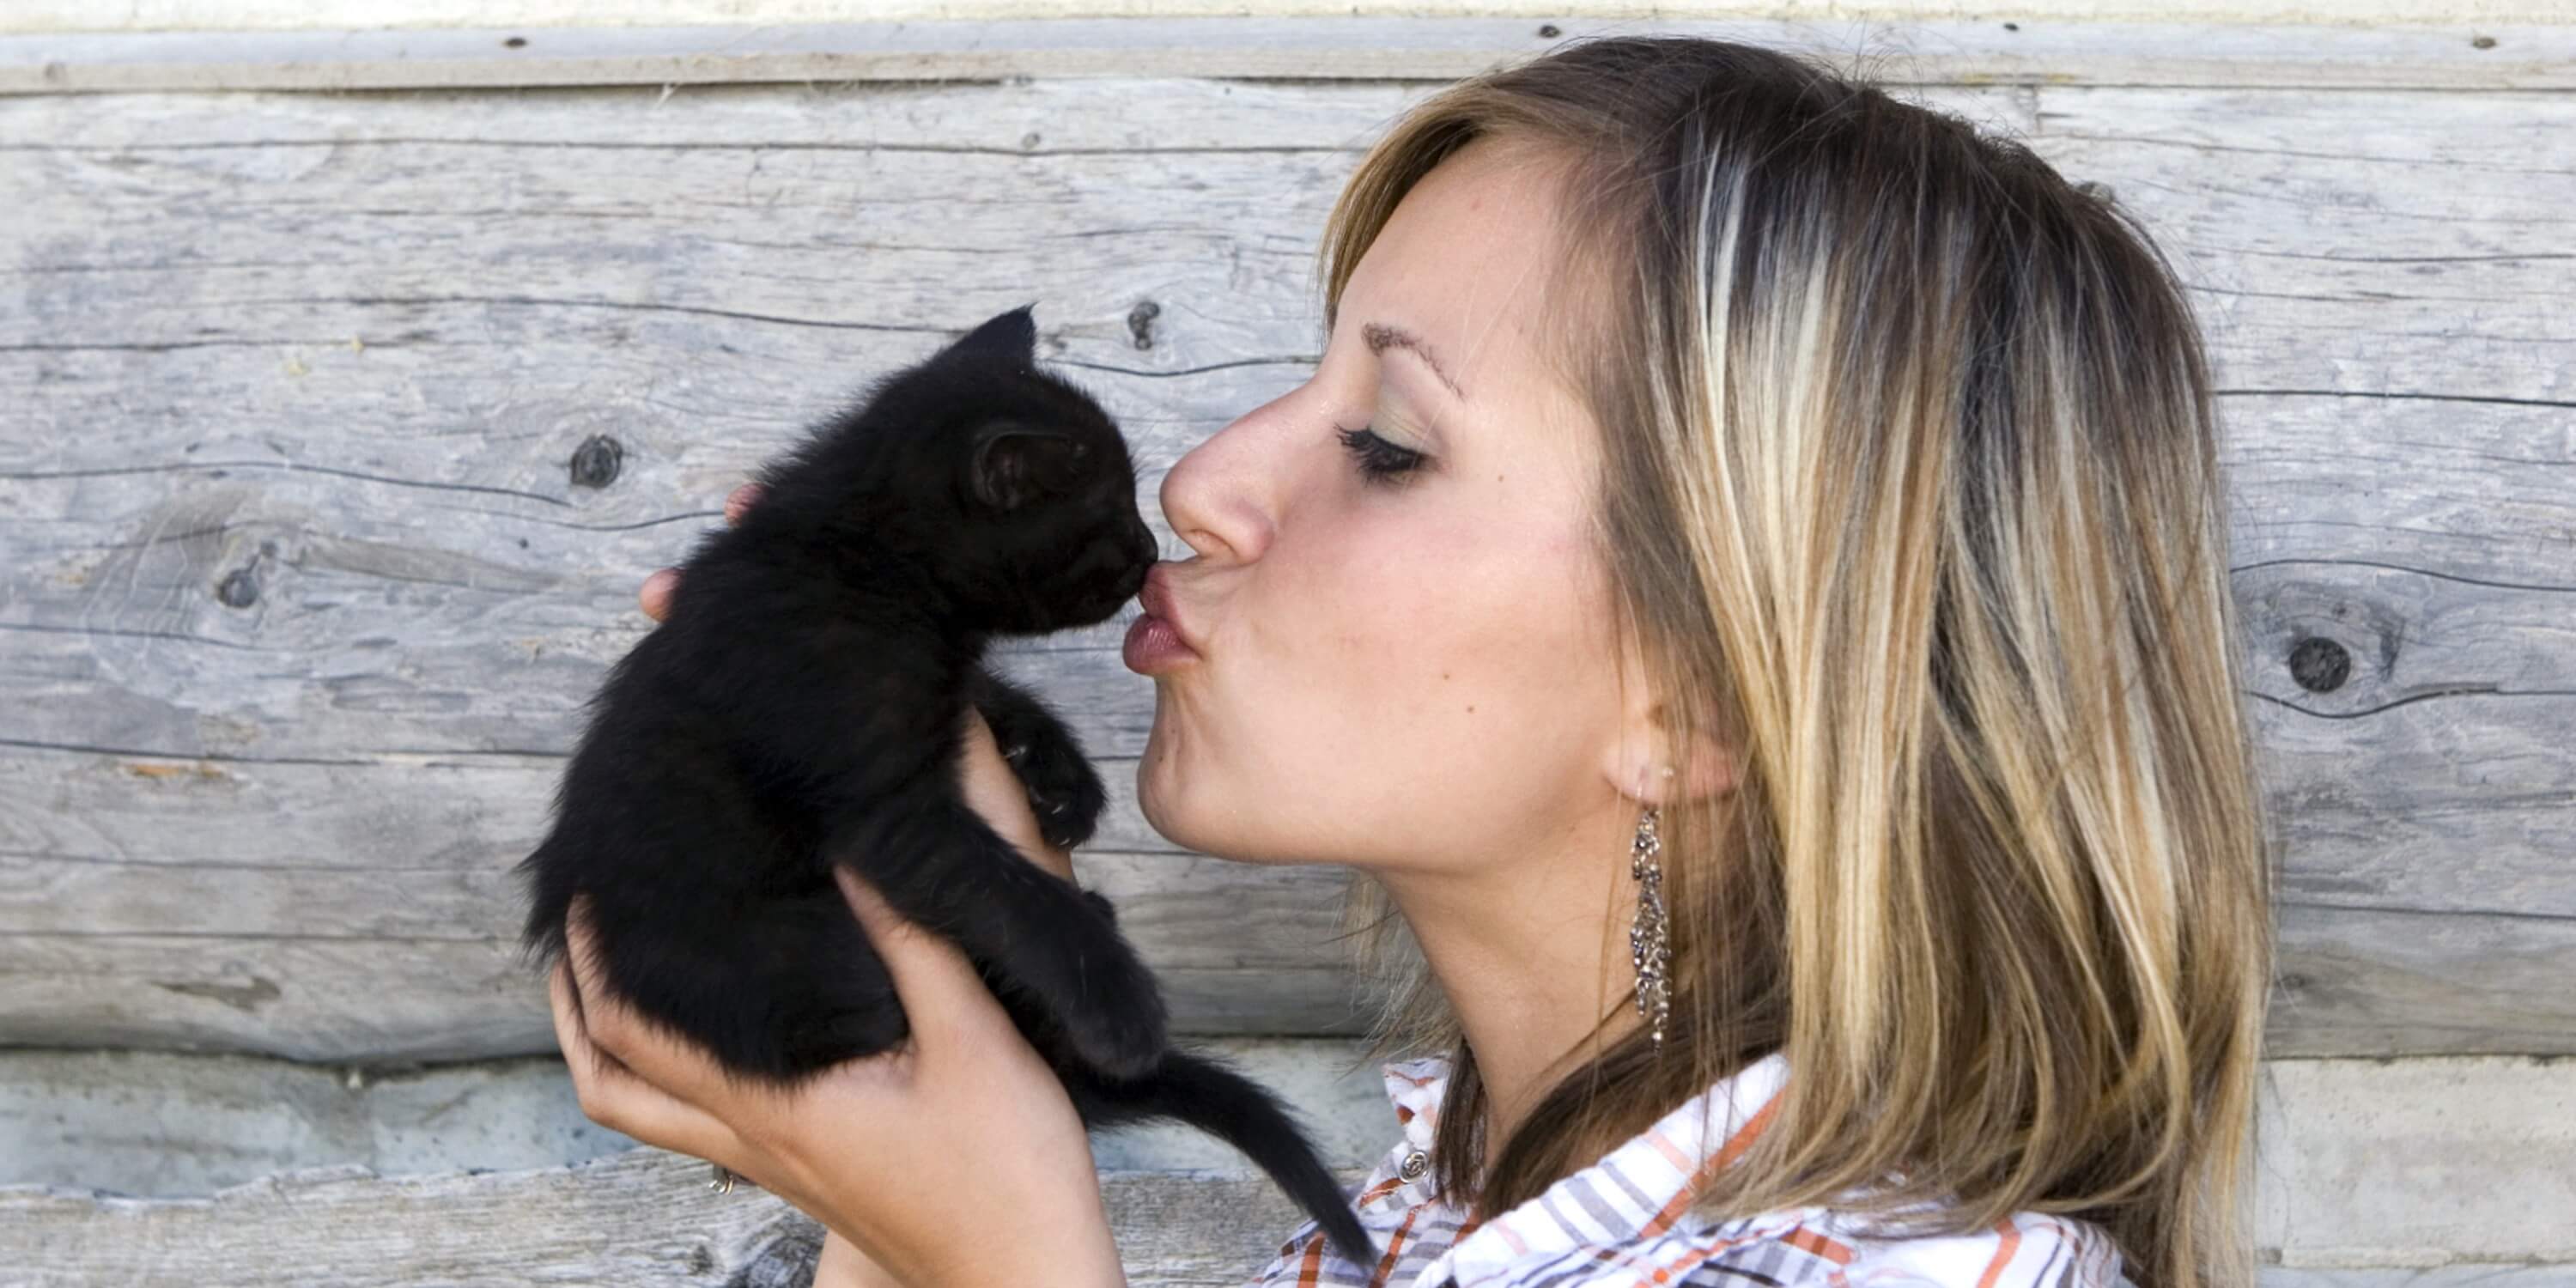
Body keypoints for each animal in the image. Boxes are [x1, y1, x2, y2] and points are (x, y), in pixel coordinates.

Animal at [510, 307, 1381, 1262]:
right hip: (762, 954)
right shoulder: (883, 798)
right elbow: (1012, 892)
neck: (862, 558)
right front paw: (1118, 1004)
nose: (1151, 552)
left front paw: (1062, 781)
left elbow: (988, 699)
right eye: (1109, 508)